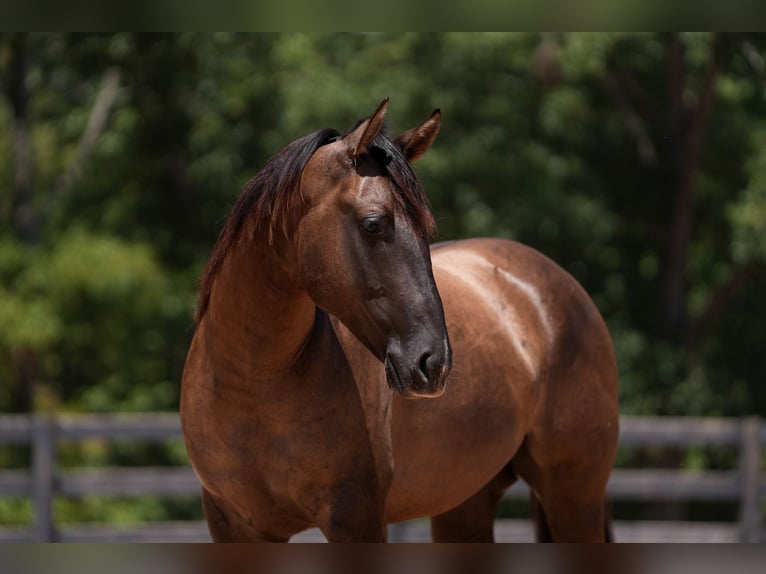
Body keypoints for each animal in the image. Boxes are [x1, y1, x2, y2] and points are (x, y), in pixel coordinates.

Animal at [180, 99, 619, 542]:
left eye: (426, 231)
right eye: (373, 224)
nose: (434, 363)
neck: (253, 382)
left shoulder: (356, 517)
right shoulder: (233, 524)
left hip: (573, 495)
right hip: (465, 505)